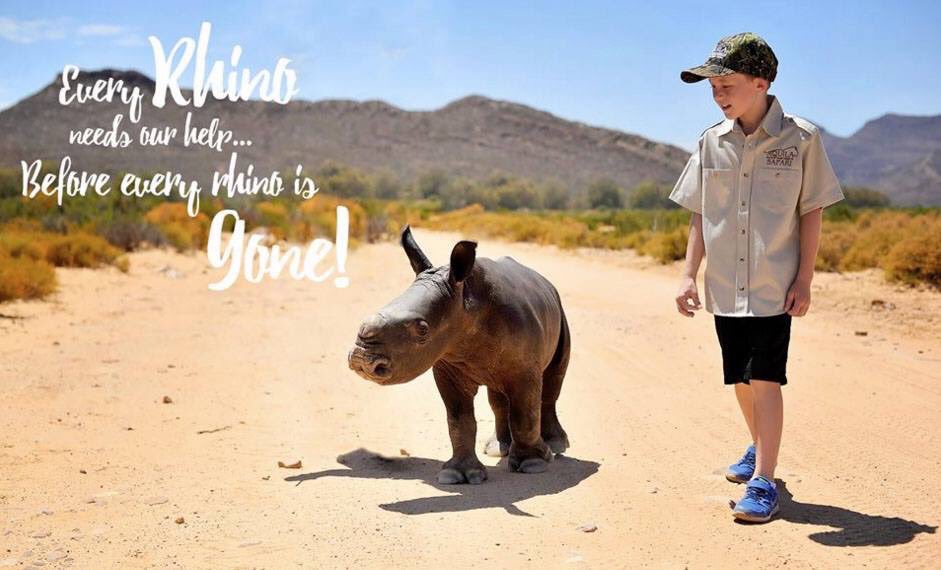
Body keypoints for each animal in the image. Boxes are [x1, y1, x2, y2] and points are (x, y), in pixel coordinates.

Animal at [348, 226, 571, 484]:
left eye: (422, 329)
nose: (361, 359)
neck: (467, 306)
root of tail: (546, 283)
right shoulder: (447, 366)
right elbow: (459, 419)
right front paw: (459, 475)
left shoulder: (525, 369)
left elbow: (525, 412)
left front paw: (533, 464)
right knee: (498, 396)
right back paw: (498, 449)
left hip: (560, 313)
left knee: (553, 380)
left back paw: (556, 447)